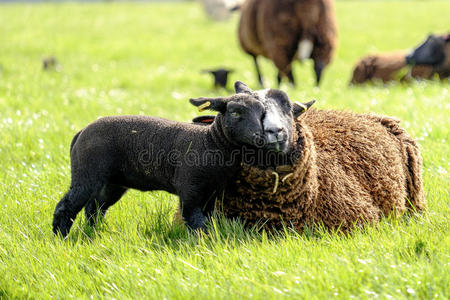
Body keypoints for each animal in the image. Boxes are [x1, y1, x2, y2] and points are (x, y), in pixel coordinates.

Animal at [53, 81, 292, 238]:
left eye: (262, 113)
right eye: (235, 112)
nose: (260, 136)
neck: (211, 142)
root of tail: (81, 132)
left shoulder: (212, 193)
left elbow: (208, 221)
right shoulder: (190, 190)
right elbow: (197, 223)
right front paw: (201, 245)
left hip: (112, 183)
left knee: (94, 208)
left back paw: (94, 232)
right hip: (86, 174)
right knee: (66, 206)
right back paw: (60, 238)